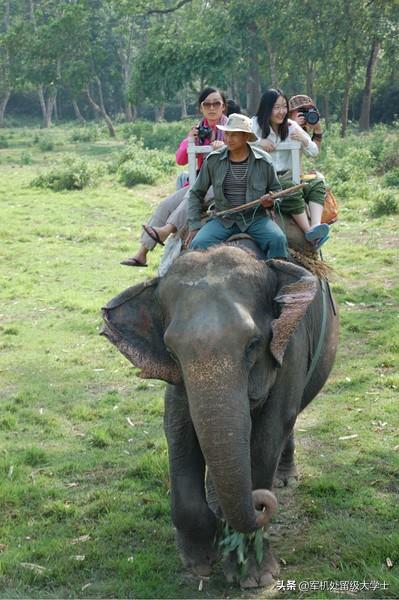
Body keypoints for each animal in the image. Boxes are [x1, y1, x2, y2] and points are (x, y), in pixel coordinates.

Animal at [101, 241, 340, 588]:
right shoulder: (178, 379)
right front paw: (200, 561)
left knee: (289, 420)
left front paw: (253, 576)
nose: (261, 501)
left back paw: (283, 479)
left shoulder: (290, 347)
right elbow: (177, 427)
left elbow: (270, 431)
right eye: (171, 352)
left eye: (254, 343)